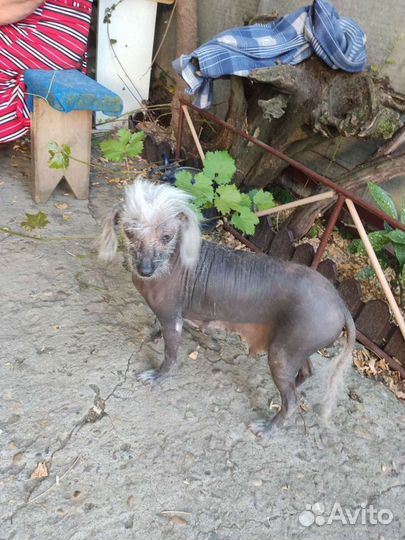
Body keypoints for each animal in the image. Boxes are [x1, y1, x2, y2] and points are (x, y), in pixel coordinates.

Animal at [98, 179, 354, 436]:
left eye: (167, 236)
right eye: (130, 232)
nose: (146, 270)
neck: (170, 262)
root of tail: (341, 303)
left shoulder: (173, 322)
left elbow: (170, 356)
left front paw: (159, 376)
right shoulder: (165, 314)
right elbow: (154, 324)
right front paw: (151, 333)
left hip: (282, 353)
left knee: (291, 401)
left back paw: (269, 428)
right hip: (294, 348)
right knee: (305, 373)